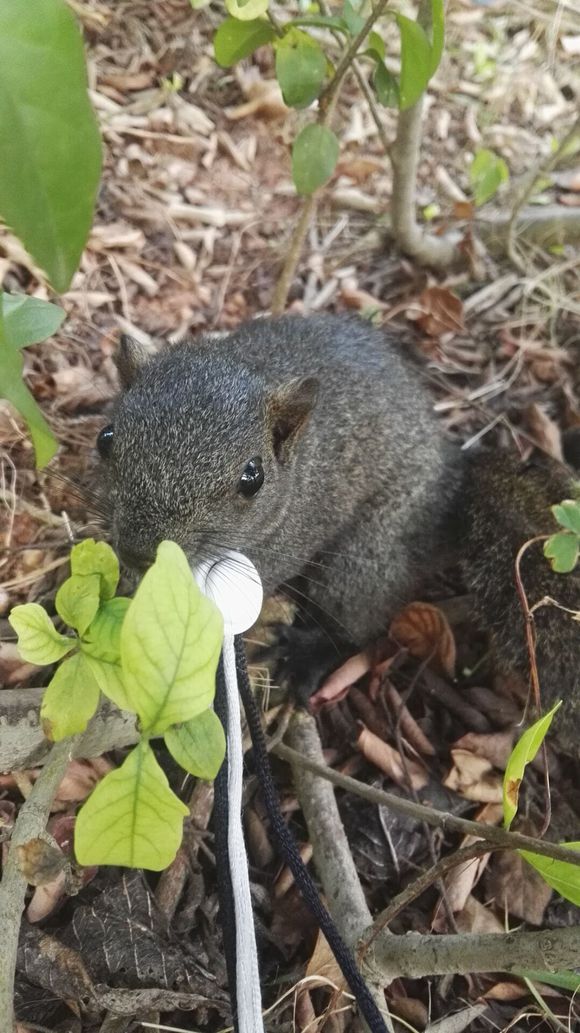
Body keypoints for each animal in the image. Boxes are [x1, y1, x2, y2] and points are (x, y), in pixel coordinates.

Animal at [97, 311, 578, 752]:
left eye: (252, 479)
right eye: (106, 437)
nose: (139, 551)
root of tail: (454, 480)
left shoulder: (288, 542)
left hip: (372, 553)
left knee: (354, 625)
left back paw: (305, 654)